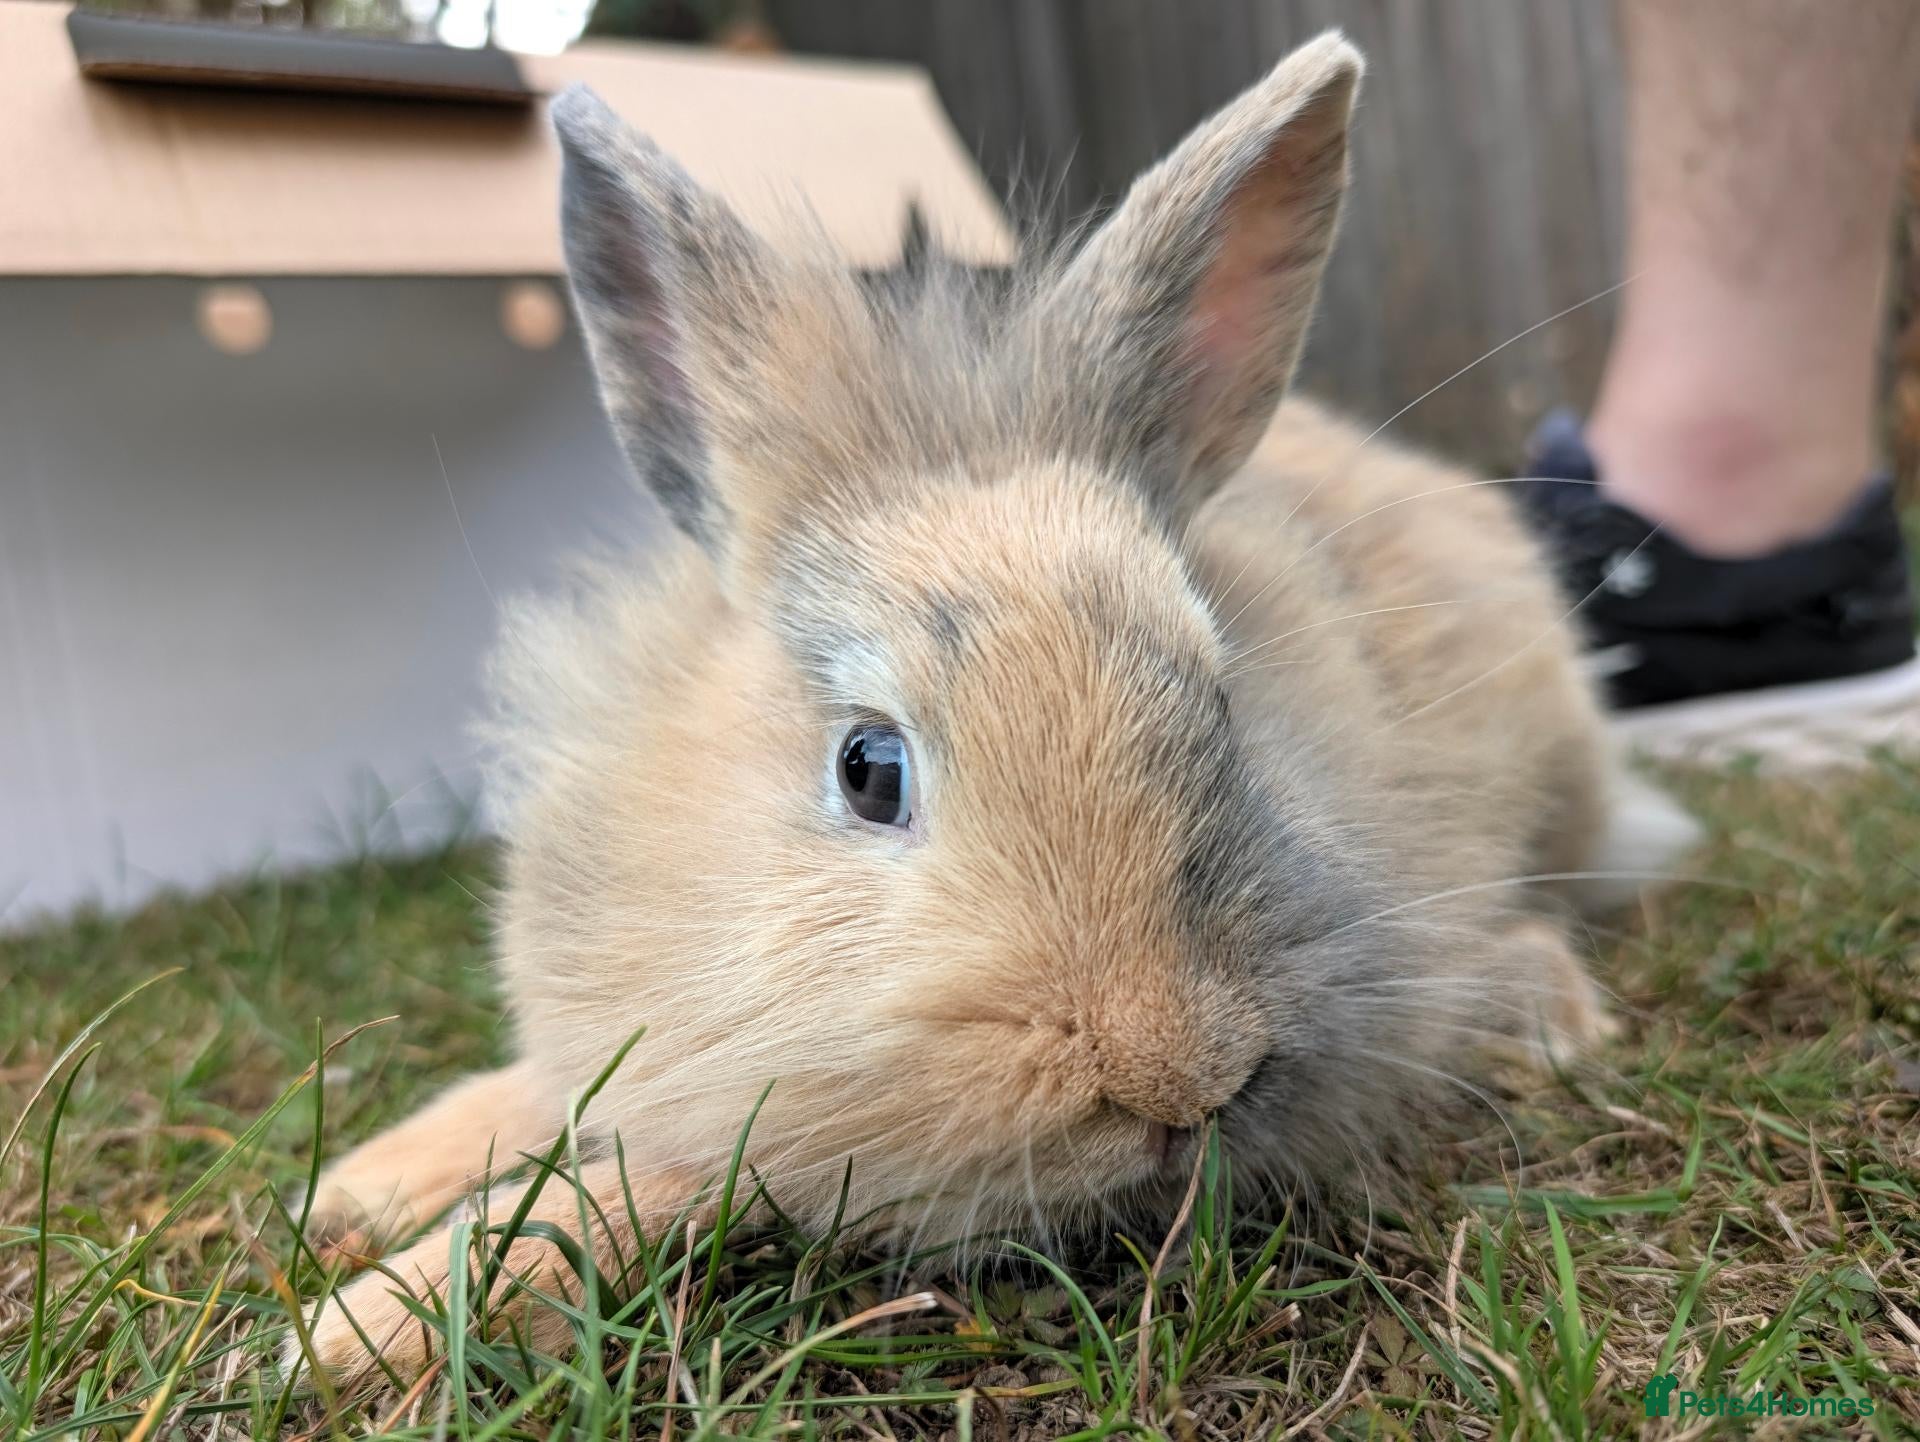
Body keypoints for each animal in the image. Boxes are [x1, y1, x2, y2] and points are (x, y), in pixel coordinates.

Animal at [293, 31, 1695, 1382]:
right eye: (868, 767)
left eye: (1225, 700)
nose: (1174, 1072)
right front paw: (358, 1197)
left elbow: (653, 1177)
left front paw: (357, 1326)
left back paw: (1549, 1019)